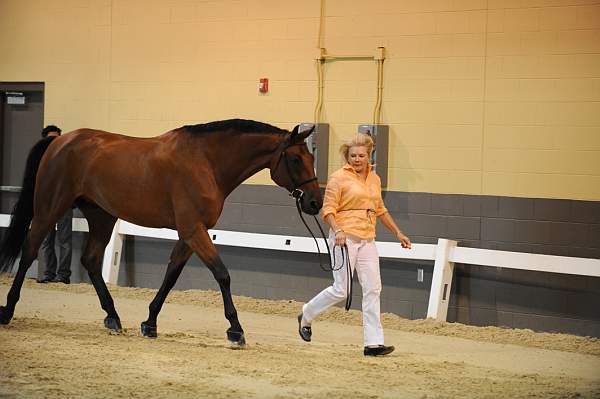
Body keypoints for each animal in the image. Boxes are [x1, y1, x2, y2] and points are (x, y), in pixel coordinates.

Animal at [1, 119, 324, 346]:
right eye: (295, 159)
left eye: (311, 158)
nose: (314, 202)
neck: (206, 162)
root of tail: (59, 141)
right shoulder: (193, 230)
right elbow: (222, 274)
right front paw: (235, 330)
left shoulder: (190, 233)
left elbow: (171, 275)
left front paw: (150, 323)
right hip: (49, 209)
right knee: (29, 252)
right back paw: (8, 310)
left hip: (102, 216)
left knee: (91, 260)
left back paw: (113, 317)